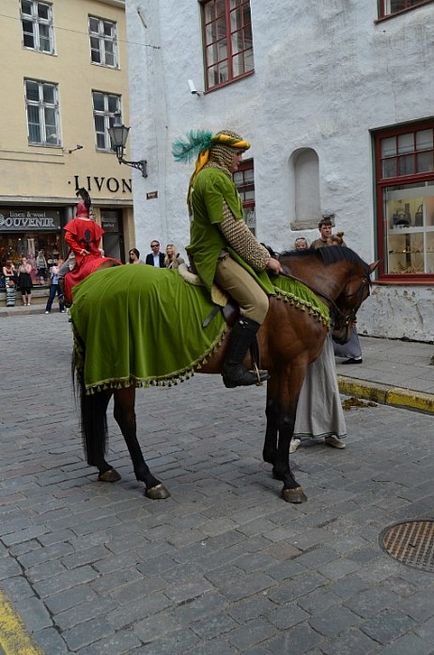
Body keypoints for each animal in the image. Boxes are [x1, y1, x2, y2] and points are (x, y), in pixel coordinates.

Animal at [71, 249, 376, 504]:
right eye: (365, 292)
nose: (342, 333)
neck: (301, 288)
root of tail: (89, 287)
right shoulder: (294, 365)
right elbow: (287, 418)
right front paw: (288, 479)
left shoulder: (277, 367)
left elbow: (273, 411)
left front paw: (274, 464)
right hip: (124, 370)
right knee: (126, 419)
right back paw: (149, 479)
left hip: (107, 368)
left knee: (99, 407)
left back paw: (104, 467)